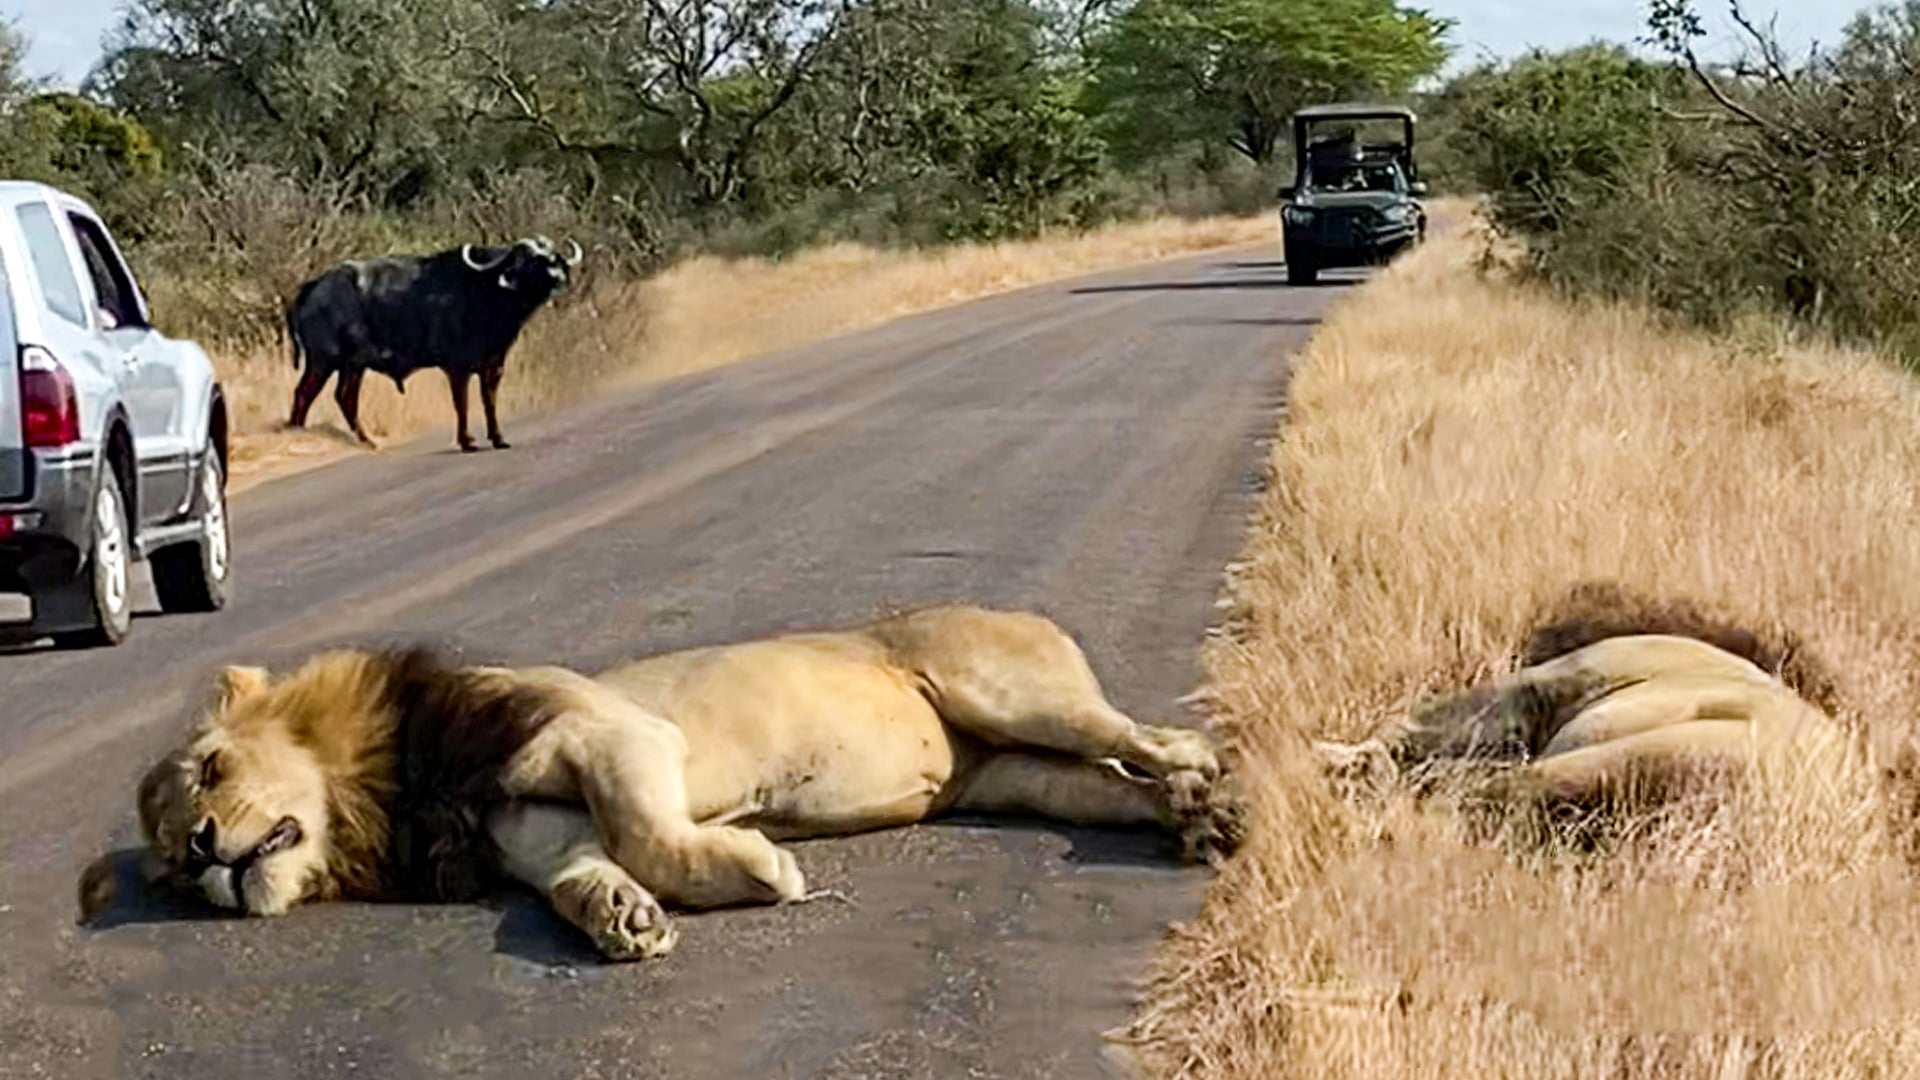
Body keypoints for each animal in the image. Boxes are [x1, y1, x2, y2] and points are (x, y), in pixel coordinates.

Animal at [92, 604, 1244, 961]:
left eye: (212, 769)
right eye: (169, 859)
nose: (205, 853)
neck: (395, 796)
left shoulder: (614, 733)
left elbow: (651, 832)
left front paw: (759, 866)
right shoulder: (532, 830)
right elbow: (578, 875)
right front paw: (621, 919)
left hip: (1006, 691)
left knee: (1151, 735)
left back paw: (1211, 787)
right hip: (1009, 774)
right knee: (1107, 784)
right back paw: (1193, 820)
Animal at [286, 235, 583, 452]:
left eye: (553, 256)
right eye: (530, 259)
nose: (558, 277)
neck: (484, 292)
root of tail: (313, 288)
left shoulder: (494, 365)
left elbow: (489, 401)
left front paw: (498, 438)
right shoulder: (457, 367)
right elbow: (462, 403)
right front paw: (466, 441)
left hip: (350, 366)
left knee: (343, 397)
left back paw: (365, 440)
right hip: (326, 360)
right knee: (306, 393)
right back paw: (301, 430)